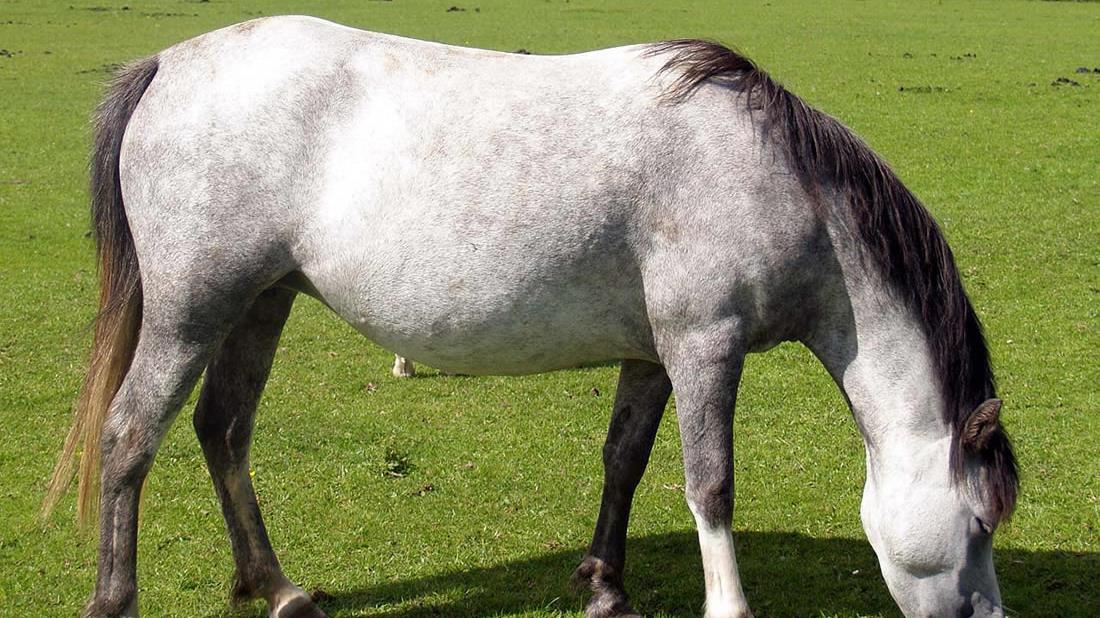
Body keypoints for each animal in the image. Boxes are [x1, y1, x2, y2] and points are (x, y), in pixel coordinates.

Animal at [42, 16, 1018, 618]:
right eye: (979, 525)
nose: (990, 614)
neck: (774, 179)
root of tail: (167, 65)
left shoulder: (654, 355)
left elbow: (625, 461)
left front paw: (606, 587)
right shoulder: (706, 346)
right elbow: (710, 483)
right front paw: (726, 602)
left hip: (260, 302)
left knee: (223, 429)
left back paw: (278, 588)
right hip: (191, 313)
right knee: (130, 437)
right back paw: (116, 598)